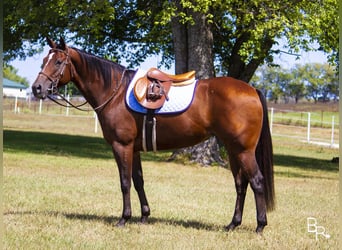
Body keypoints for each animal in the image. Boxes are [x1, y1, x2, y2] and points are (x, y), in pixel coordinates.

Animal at [32, 36, 276, 232]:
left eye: (58, 62)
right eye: (43, 61)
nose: (37, 88)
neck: (115, 92)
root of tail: (251, 89)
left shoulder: (121, 146)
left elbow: (124, 182)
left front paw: (124, 219)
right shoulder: (134, 149)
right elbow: (138, 181)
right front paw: (144, 216)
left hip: (244, 151)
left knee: (256, 181)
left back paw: (260, 226)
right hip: (234, 151)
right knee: (241, 184)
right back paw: (233, 224)